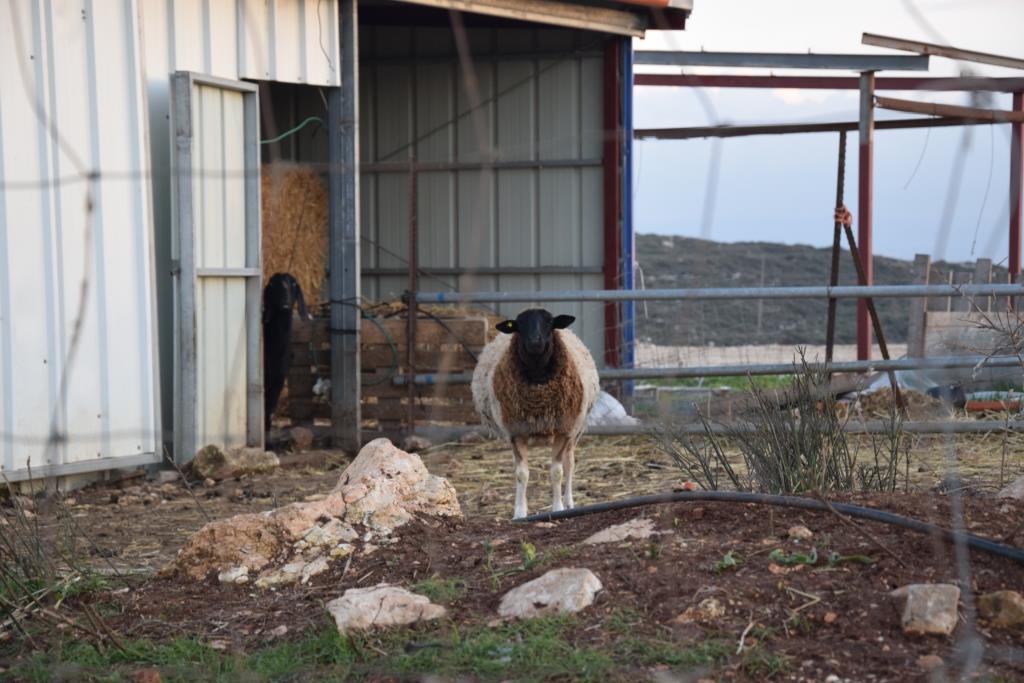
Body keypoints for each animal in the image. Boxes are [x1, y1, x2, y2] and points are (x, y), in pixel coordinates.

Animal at [471, 309, 598, 518]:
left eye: (549, 323)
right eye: (519, 325)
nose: (535, 342)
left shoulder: (563, 430)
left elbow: (557, 472)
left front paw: (558, 508)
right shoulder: (516, 432)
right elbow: (521, 474)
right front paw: (519, 513)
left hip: (575, 429)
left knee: (569, 464)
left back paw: (569, 502)